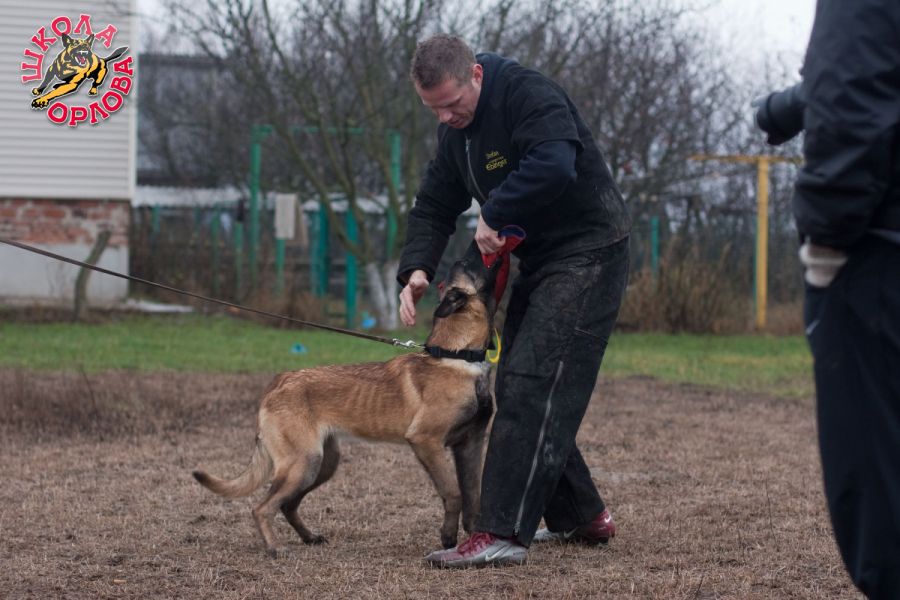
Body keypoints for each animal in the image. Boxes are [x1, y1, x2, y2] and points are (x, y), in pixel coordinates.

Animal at [193, 242, 501, 557]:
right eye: (468, 265)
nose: (479, 247)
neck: (458, 355)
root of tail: (281, 380)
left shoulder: (470, 445)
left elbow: (473, 497)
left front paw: (473, 539)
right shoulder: (426, 441)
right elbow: (453, 493)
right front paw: (448, 537)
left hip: (322, 464)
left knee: (287, 505)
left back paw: (309, 537)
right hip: (303, 463)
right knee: (262, 507)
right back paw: (275, 548)